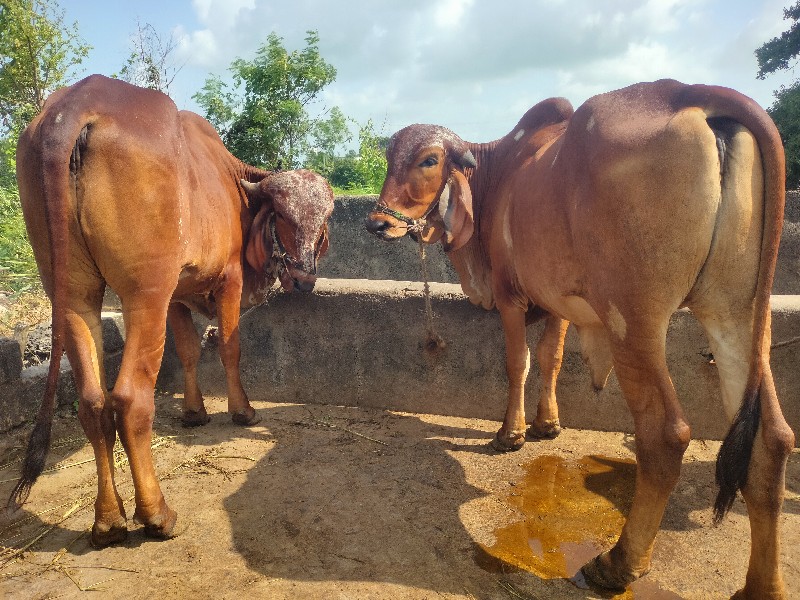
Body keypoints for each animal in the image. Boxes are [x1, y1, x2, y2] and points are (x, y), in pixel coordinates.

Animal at [7, 75, 332, 548]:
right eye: (284, 217)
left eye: (324, 219)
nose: (304, 278)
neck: (233, 187)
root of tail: (77, 103)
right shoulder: (227, 280)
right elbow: (229, 349)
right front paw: (242, 411)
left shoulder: (179, 295)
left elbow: (191, 352)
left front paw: (194, 412)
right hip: (146, 294)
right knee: (129, 400)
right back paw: (156, 514)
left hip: (74, 295)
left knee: (93, 402)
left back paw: (108, 520)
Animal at [368, 78, 792, 596]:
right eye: (389, 157)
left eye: (428, 160)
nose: (377, 222)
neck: (498, 175)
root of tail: (694, 92)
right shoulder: (559, 304)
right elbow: (550, 357)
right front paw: (547, 424)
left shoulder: (510, 298)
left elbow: (519, 362)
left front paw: (510, 433)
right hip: (738, 314)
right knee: (772, 440)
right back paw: (761, 586)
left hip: (634, 321)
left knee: (665, 436)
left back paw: (619, 563)